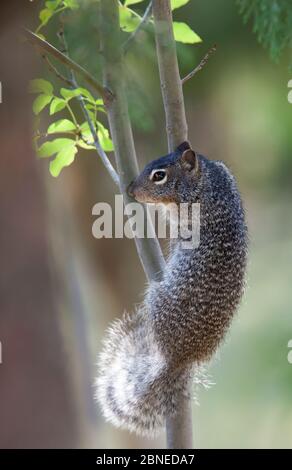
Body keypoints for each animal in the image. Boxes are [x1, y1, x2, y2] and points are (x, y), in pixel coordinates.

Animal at [95, 140, 246, 436]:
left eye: (159, 176)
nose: (131, 190)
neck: (206, 179)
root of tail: (178, 358)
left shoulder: (183, 215)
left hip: (155, 298)